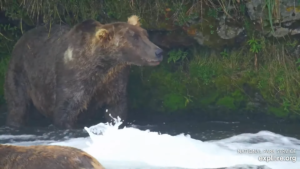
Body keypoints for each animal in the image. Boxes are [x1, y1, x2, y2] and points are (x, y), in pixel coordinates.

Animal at [4, 15, 164, 129]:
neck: (103, 65)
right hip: (20, 72)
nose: (159, 52)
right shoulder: (74, 78)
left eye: (145, 34)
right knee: (18, 104)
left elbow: (116, 108)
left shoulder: (115, 80)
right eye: (134, 38)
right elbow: (66, 110)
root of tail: (22, 38)